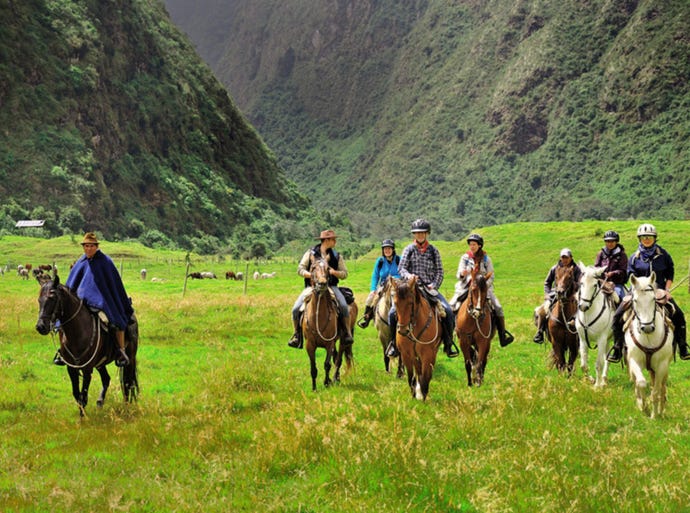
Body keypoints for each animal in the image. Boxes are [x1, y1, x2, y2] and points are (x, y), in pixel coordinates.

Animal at [35, 274, 138, 414]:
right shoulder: (71, 368)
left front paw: (84, 418)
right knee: (106, 379)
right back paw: (100, 401)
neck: (77, 332)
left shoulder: (87, 369)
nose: (40, 327)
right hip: (100, 363)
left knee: (128, 382)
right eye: (39, 300)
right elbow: (77, 395)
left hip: (130, 358)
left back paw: (126, 406)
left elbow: (83, 397)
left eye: (52, 298)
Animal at [300, 258, 354, 390]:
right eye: (313, 267)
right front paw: (314, 387)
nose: (322, 284)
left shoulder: (329, 344)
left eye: (328, 268)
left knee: (338, 360)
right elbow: (313, 367)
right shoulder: (310, 345)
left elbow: (327, 364)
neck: (318, 316)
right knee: (336, 358)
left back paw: (334, 378)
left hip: (343, 340)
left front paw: (326, 382)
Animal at [624, 274, 672, 418]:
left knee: (662, 386)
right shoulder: (634, 361)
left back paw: (661, 409)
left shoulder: (662, 365)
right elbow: (641, 383)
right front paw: (643, 405)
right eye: (635, 300)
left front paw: (654, 415)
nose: (647, 328)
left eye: (653, 299)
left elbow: (656, 390)